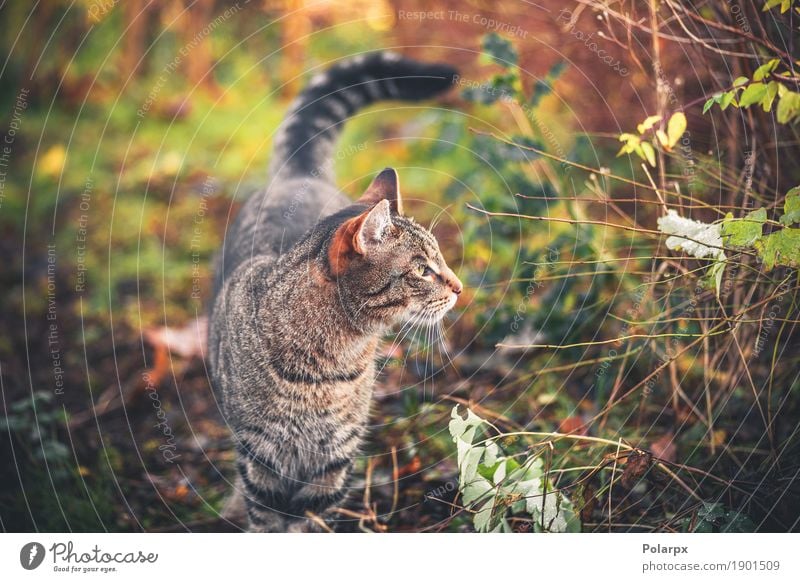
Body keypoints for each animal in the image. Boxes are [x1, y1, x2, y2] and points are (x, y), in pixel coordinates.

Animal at [209, 51, 462, 532]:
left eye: (440, 258)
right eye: (423, 269)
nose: (459, 287)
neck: (330, 364)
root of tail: (298, 174)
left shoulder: (333, 461)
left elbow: (310, 522)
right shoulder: (261, 458)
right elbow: (266, 521)